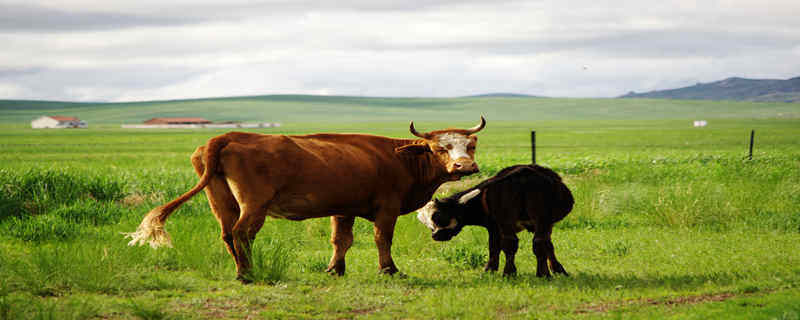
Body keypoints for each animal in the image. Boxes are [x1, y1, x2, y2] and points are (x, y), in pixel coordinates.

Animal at [128, 117, 484, 280]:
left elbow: (341, 240)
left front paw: (335, 269)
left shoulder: (343, 208)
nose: (465, 166)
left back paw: (241, 270)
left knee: (228, 234)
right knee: (242, 233)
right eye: (439, 148)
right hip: (254, 204)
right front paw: (389, 269)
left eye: (471, 145)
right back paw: (248, 274)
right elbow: (382, 239)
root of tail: (228, 135)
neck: (399, 158)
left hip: (221, 201)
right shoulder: (387, 207)